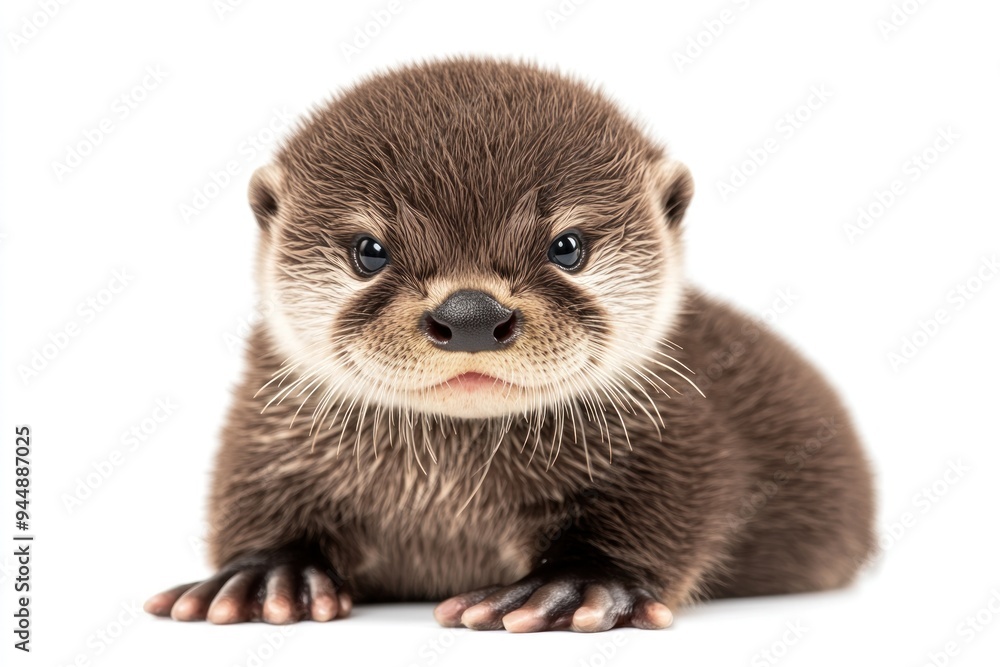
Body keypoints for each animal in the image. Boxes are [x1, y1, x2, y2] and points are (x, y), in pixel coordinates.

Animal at [145, 58, 875, 632]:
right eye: (369, 251)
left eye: (568, 246)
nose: (471, 314)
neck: (448, 494)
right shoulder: (268, 425)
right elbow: (252, 492)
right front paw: (266, 574)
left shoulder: (675, 424)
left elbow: (675, 500)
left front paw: (574, 585)